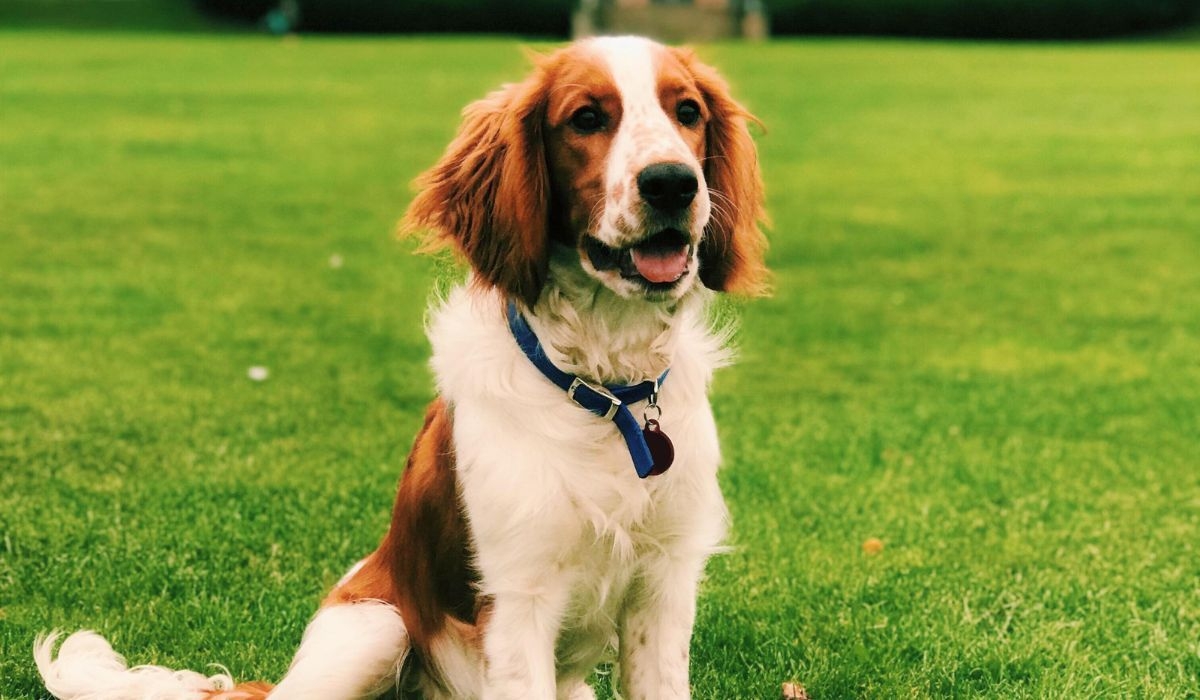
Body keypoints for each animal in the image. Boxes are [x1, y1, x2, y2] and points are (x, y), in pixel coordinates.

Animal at [39, 34, 768, 700]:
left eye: (688, 111)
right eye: (587, 118)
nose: (673, 183)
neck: (607, 393)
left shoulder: (665, 589)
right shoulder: (520, 597)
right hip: (375, 628)